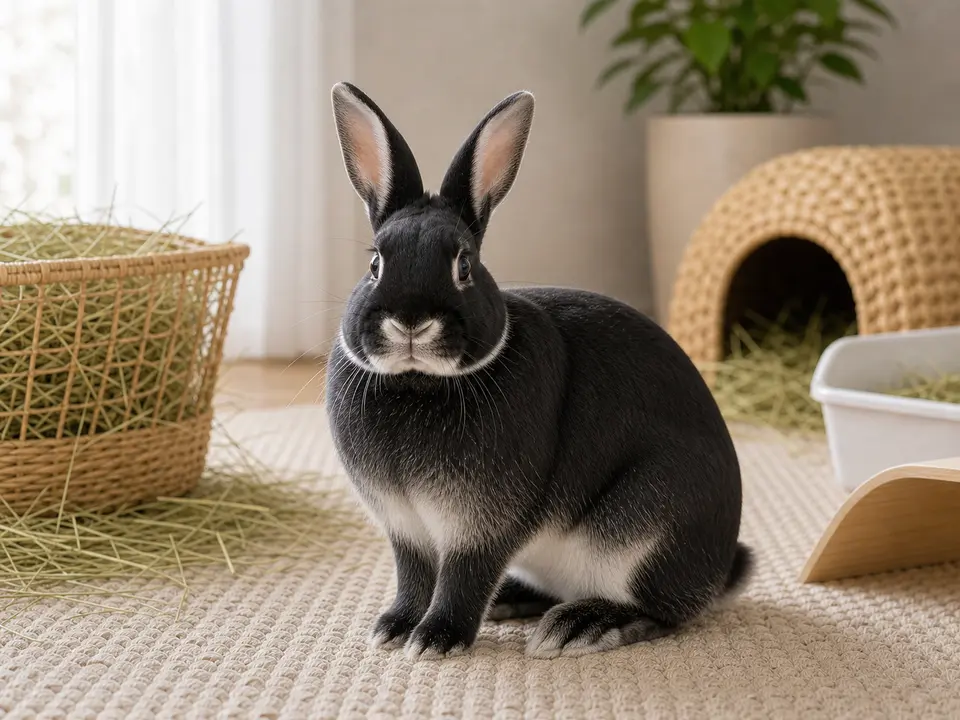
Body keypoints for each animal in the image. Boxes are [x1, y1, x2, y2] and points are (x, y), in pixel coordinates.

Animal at [324, 81, 753, 660]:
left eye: (464, 265)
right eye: (375, 264)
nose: (410, 321)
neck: (420, 383)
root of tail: (718, 568)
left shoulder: (481, 529)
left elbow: (463, 578)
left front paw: (436, 639)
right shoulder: (407, 530)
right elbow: (414, 577)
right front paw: (393, 627)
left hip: (649, 528)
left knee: (661, 612)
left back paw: (581, 626)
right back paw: (511, 600)